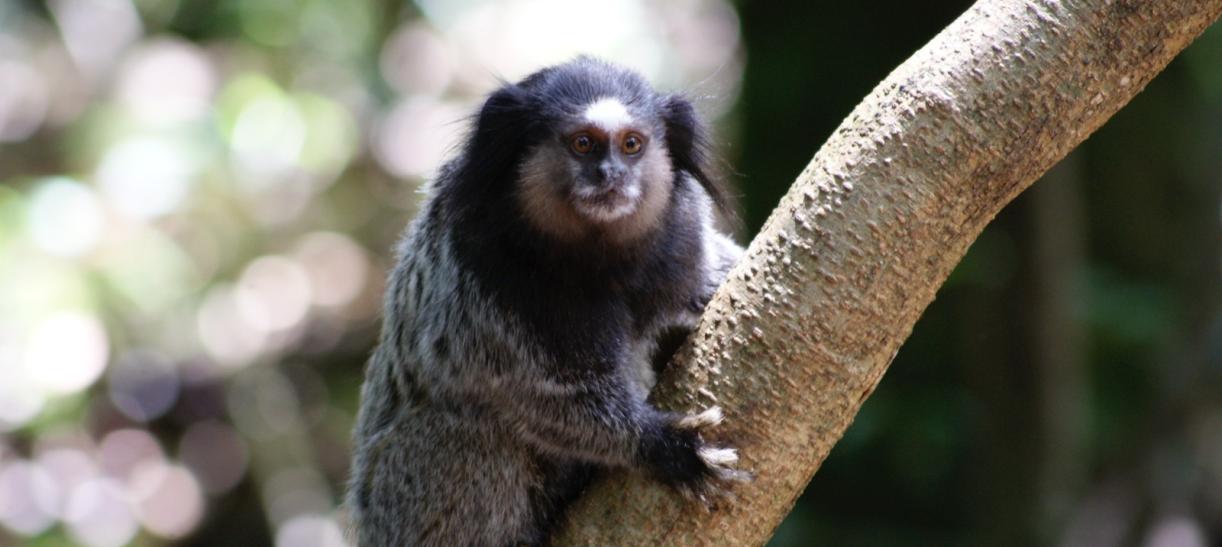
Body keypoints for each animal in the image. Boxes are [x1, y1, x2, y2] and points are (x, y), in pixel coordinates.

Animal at [346, 56, 746, 546]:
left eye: (632, 144)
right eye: (583, 144)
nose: (611, 175)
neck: (598, 258)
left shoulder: (682, 237)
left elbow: (711, 272)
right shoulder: (485, 270)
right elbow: (539, 395)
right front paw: (664, 445)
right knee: (467, 429)